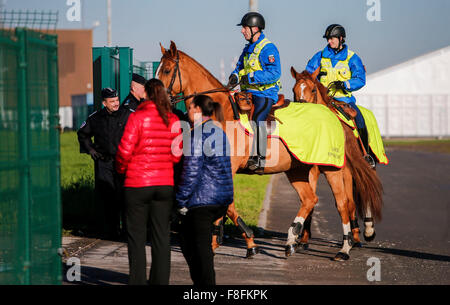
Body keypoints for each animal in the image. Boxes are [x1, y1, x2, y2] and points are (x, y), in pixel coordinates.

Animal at [290, 67, 384, 245]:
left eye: (313, 90)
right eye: (294, 90)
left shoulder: (344, 171)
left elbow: (348, 202)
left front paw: (353, 237)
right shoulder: (313, 171)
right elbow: (310, 200)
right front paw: (303, 238)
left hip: (365, 166)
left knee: (364, 191)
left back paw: (366, 231)